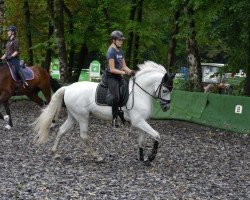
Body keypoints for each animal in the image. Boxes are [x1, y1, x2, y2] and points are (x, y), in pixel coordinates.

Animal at [32, 61, 174, 164]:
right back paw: (97, 157)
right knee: (84, 136)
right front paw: (151, 157)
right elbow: (157, 135)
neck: (139, 93)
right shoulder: (138, 121)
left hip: (73, 116)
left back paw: (55, 153)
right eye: (165, 90)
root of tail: (68, 88)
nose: (166, 107)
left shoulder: (142, 122)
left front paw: (142, 158)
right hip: (83, 117)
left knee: (61, 130)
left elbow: (142, 141)